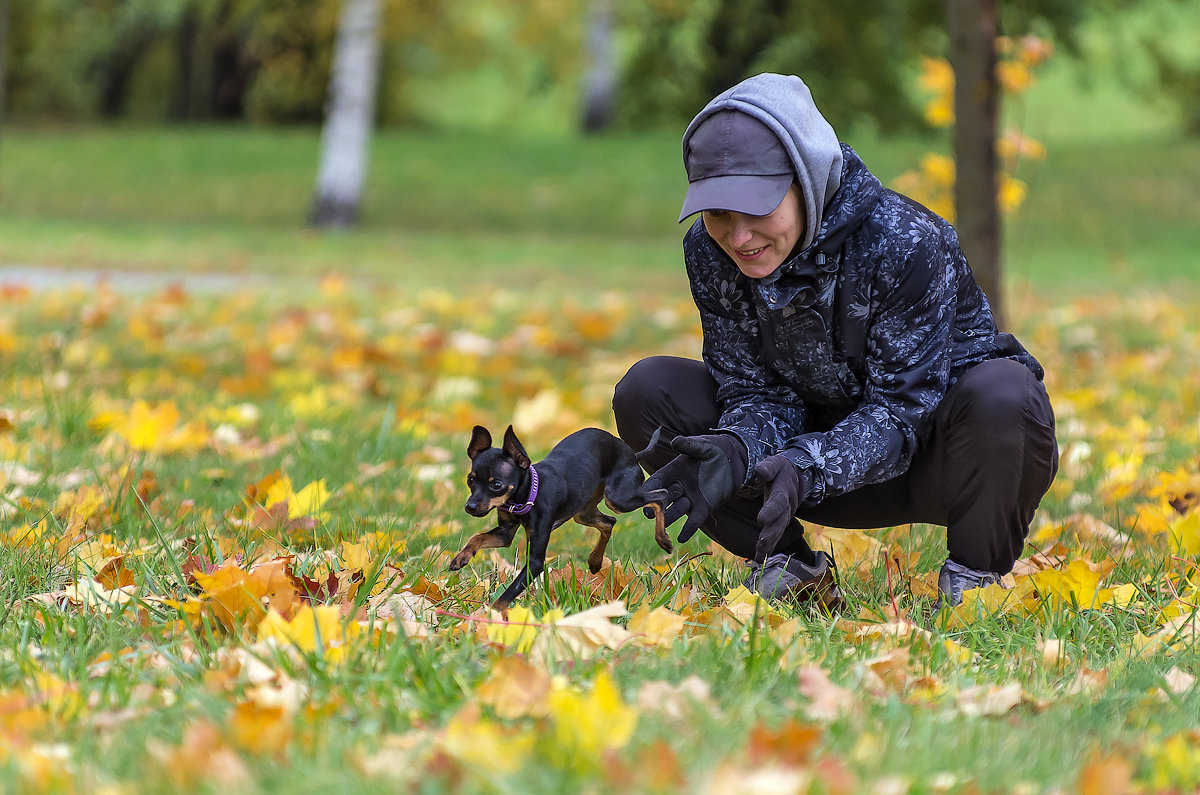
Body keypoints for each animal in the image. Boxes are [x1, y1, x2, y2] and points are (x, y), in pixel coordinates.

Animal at [451, 427, 672, 612]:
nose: (470, 507)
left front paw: (489, 616)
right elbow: (477, 538)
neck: (528, 494)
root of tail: (632, 453)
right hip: (583, 513)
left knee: (660, 497)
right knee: (609, 522)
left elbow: (507, 594)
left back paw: (663, 538)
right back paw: (595, 560)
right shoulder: (505, 534)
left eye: (496, 484)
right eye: (470, 479)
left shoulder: (535, 562)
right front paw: (461, 557)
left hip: (618, 499)